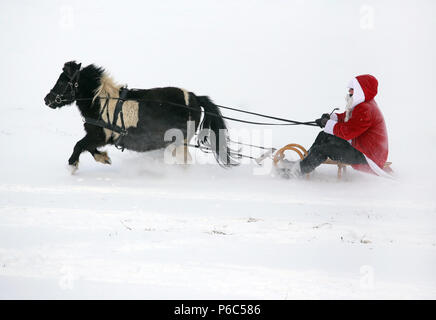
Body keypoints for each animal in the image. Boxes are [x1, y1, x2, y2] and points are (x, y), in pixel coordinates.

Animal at [43, 61, 235, 171]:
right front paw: (104, 158)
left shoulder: (100, 135)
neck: (100, 101)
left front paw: (72, 166)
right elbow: (88, 148)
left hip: (179, 141)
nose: (47, 99)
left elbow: (79, 145)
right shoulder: (99, 136)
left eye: (62, 81)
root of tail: (194, 97)